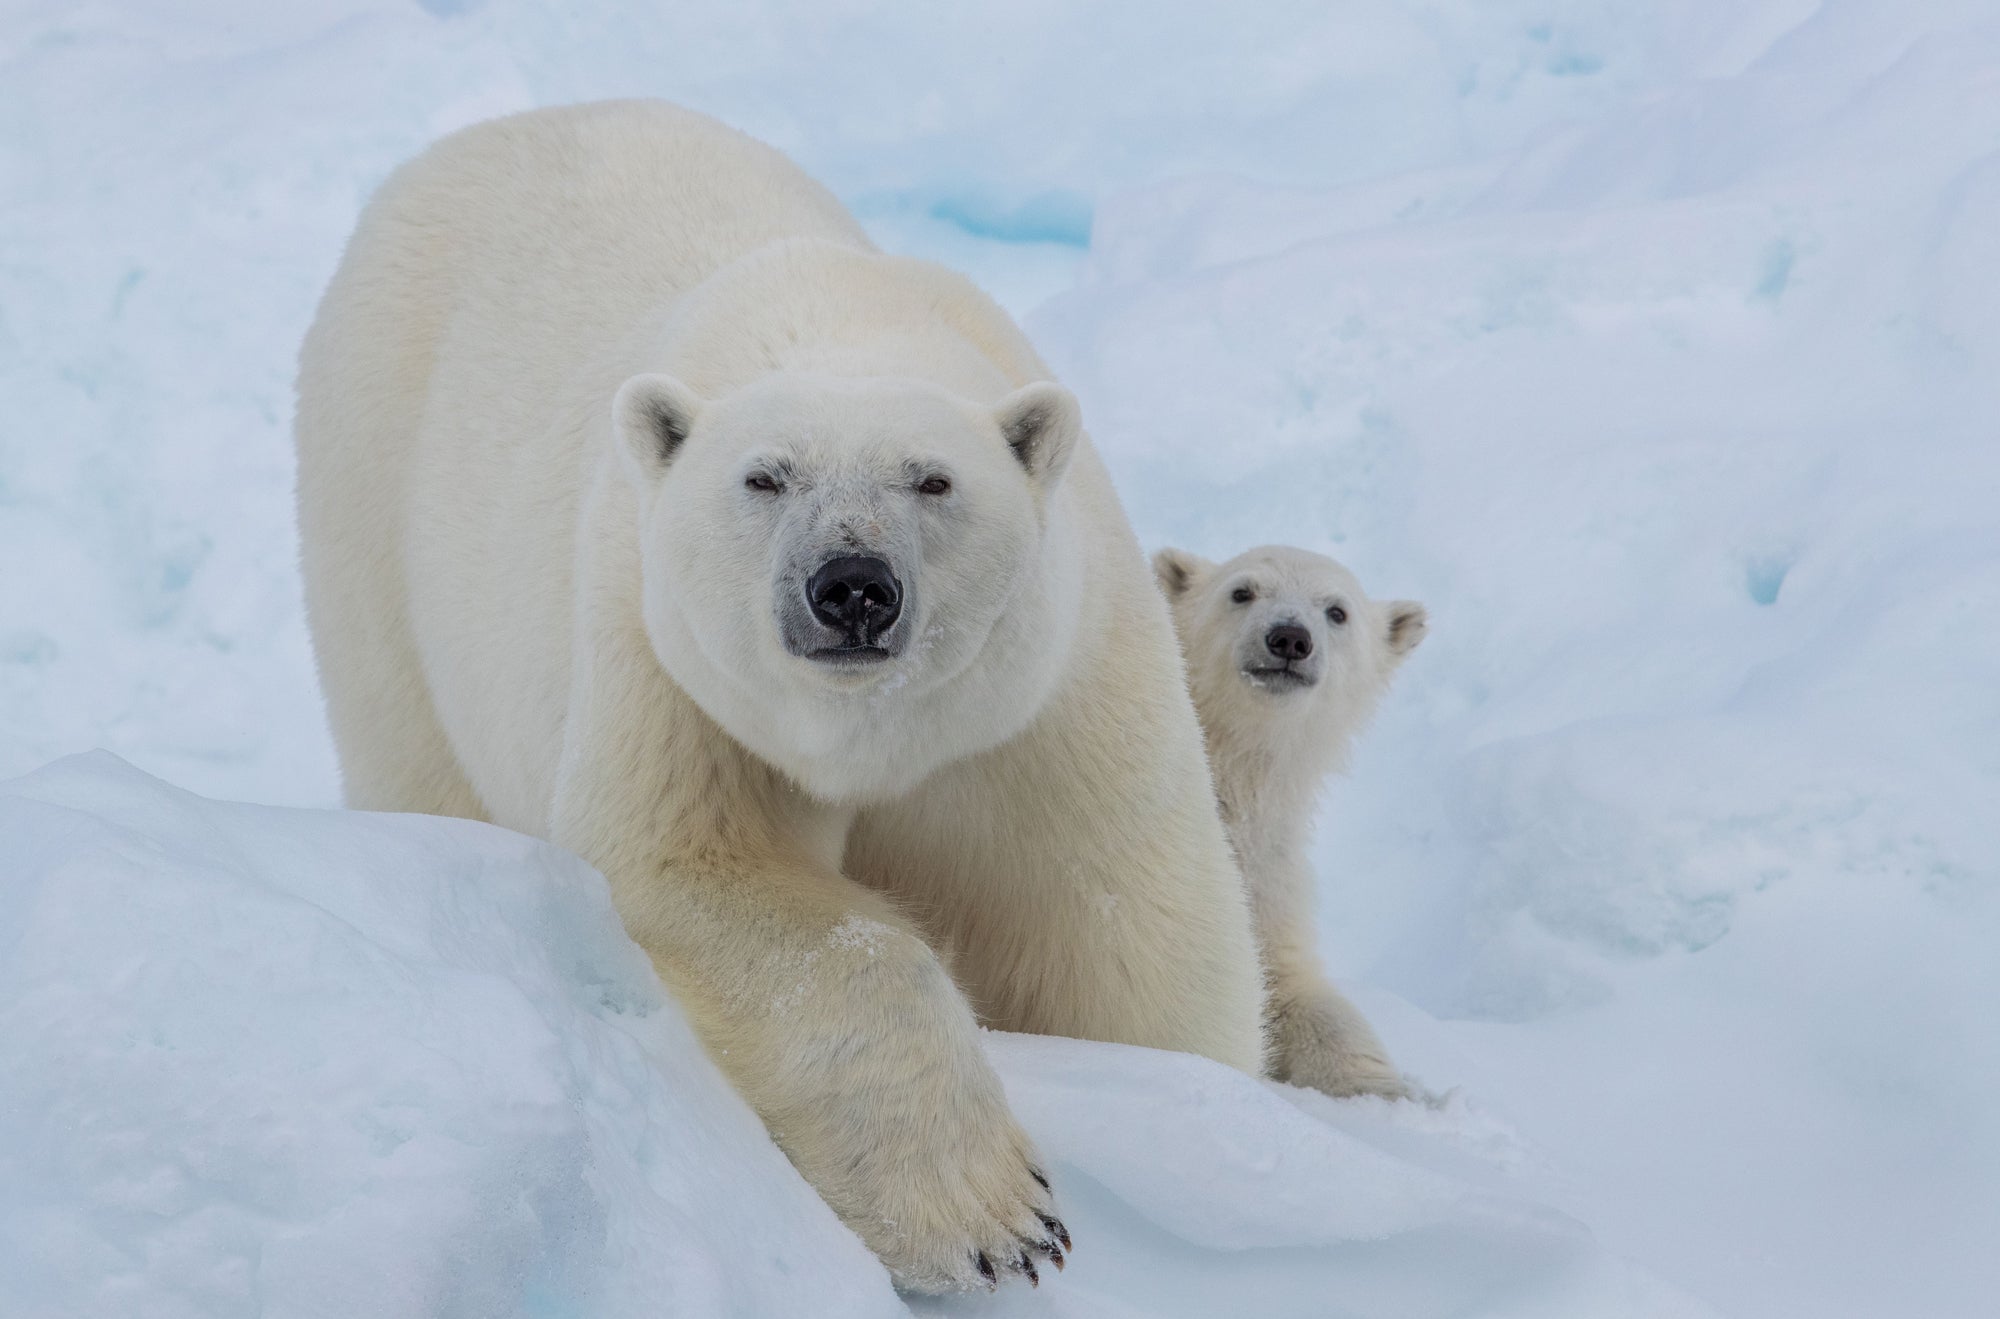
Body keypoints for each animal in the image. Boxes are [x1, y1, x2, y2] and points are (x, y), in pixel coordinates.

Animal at [292, 100, 1264, 1287]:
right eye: (764, 476)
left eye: (932, 478)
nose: (851, 587)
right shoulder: (669, 669)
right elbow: (707, 873)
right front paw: (990, 1216)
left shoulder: (1048, 701)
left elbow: (1119, 925)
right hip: (372, 500)